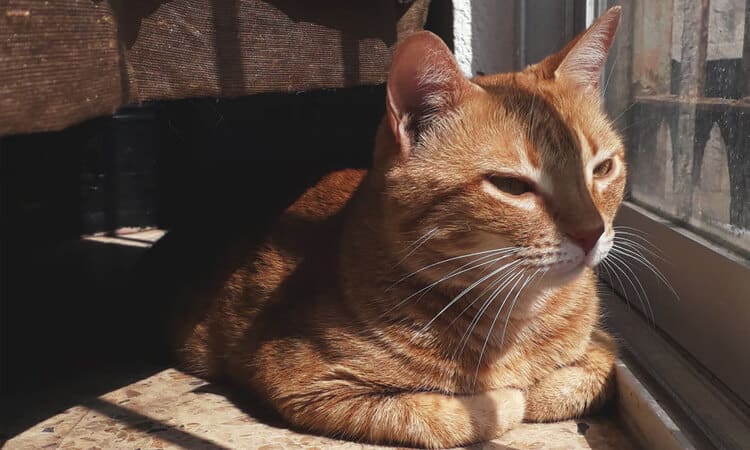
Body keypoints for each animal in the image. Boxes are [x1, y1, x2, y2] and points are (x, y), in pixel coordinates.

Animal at [176, 8, 628, 448]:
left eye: (602, 168)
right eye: (512, 186)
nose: (592, 232)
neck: (519, 314)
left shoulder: (603, 343)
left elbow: (593, 376)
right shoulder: (303, 383)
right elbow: (452, 415)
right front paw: (509, 397)